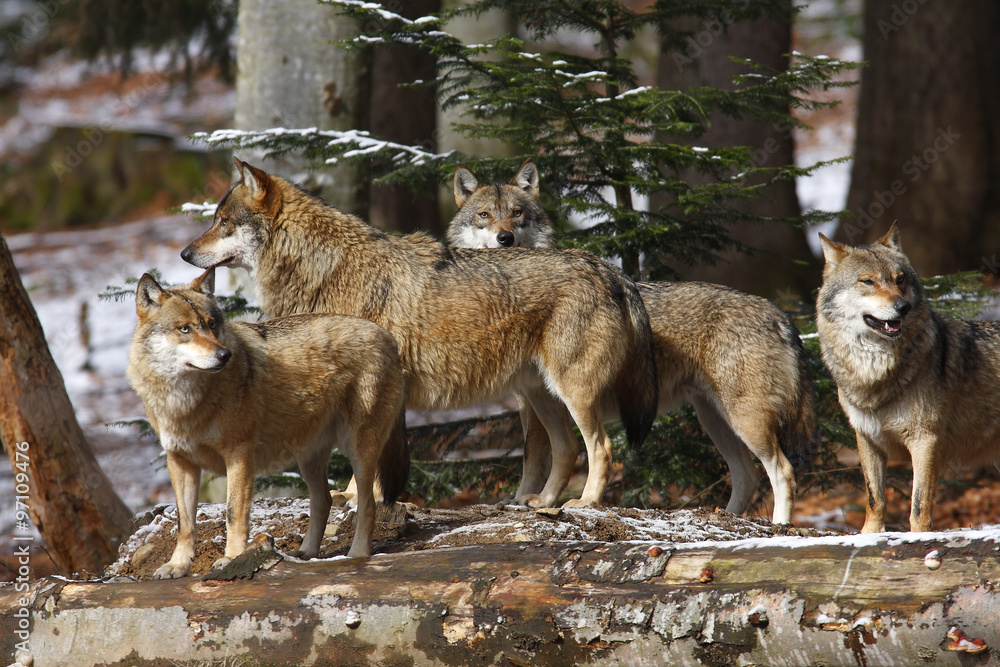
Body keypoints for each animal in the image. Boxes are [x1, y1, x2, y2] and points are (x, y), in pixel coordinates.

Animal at [127, 269, 407, 578]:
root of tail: (388, 336)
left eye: (212, 325)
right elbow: (184, 522)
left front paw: (232, 558)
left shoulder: (239, 455)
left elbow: (233, 513)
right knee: (323, 500)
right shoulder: (180, 461)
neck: (186, 402)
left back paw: (357, 555)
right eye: (185, 329)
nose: (225, 355)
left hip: (358, 449)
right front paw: (178, 565)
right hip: (308, 459)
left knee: (368, 504)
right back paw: (305, 553)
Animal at [181, 157, 658, 509]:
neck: (321, 268)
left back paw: (587, 503)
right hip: (540, 394)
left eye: (223, 222)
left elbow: (367, 460)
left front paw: (363, 498)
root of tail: (608, 269)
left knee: (602, 447)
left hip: (571, 392)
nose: (184, 253)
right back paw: (542, 503)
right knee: (567, 449)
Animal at [449, 162, 817, 525]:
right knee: (748, 476)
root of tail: (779, 314)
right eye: (484, 215)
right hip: (715, 420)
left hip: (742, 420)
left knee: (782, 470)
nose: (505, 238)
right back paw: (723, 517)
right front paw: (520, 501)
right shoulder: (530, 401)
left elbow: (546, 456)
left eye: (517, 213)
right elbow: (532, 457)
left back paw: (779, 526)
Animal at [817, 223, 1000, 533]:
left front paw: (919, 538)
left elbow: (918, 507)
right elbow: (875, 498)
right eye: (867, 282)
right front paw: (869, 535)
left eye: (899, 279)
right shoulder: (867, 438)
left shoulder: (924, 441)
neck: (875, 373)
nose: (902, 306)